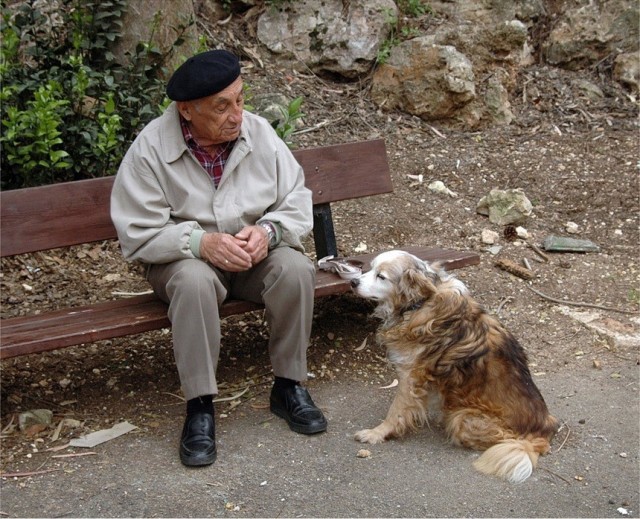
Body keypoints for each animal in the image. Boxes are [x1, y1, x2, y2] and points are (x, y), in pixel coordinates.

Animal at [352, 249, 556, 484]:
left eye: (381, 276)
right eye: (370, 268)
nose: (352, 281)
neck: (421, 302)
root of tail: (542, 432)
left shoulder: (410, 377)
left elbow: (396, 412)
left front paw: (377, 433)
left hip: (463, 419)